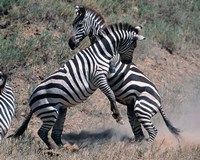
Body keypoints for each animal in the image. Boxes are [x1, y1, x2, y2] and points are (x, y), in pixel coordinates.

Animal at [12, 22, 144, 149]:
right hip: (50, 112)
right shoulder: (98, 77)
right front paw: (117, 116)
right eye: (134, 46)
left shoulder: (104, 75)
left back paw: (63, 147)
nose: (127, 62)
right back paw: (53, 149)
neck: (101, 52)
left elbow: (111, 86)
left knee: (55, 132)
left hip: (60, 109)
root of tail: (31, 101)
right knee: (42, 132)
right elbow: (110, 94)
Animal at [68, 5, 180, 144]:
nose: (71, 44)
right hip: (134, 109)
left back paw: (145, 148)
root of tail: (159, 102)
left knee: (152, 131)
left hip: (142, 109)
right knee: (139, 132)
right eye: (73, 24)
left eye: (80, 24)